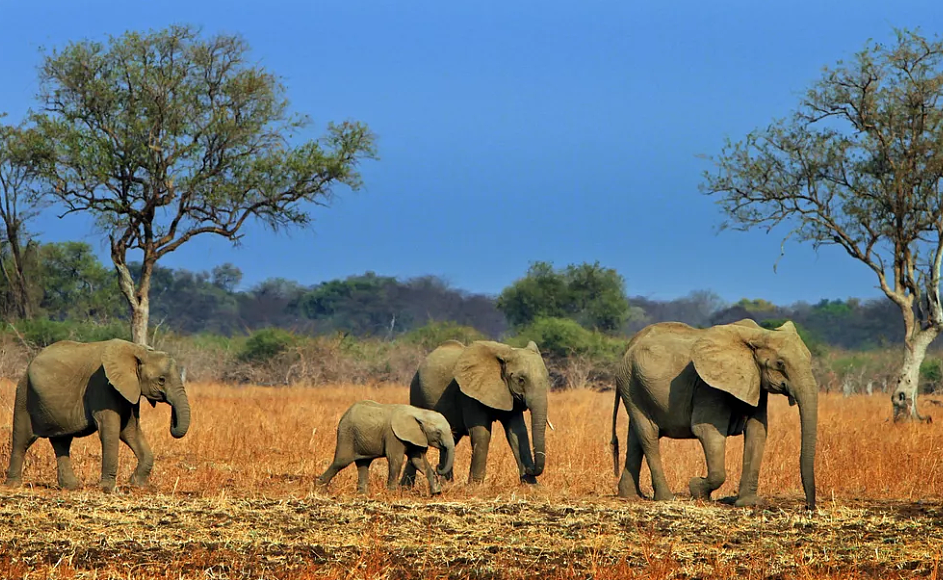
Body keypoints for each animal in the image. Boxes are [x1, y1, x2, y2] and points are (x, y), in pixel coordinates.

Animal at [5, 338, 191, 493]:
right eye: (161, 380)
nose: (172, 418)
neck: (138, 350)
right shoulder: (101, 386)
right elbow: (110, 432)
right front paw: (108, 489)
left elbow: (130, 430)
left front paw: (137, 484)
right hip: (24, 394)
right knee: (22, 439)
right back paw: (13, 485)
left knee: (61, 441)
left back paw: (71, 487)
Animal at [316, 400, 455, 496]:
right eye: (438, 433)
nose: (439, 466)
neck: (419, 412)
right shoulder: (393, 436)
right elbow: (396, 460)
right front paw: (392, 493)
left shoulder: (417, 437)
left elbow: (418, 461)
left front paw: (436, 493)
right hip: (347, 434)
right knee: (341, 461)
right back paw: (319, 488)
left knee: (363, 464)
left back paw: (362, 494)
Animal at [400, 339, 550, 487]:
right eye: (521, 379)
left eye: (547, 378)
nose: (530, 468)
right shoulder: (468, 394)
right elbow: (481, 433)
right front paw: (475, 487)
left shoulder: (509, 394)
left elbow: (518, 432)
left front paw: (533, 487)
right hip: (416, 392)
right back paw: (406, 488)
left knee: (449, 441)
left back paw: (445, 484)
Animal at [610, 319, 817, 510]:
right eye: (780, 364)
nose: (809, 507)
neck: (757, 334)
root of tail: (629, 345)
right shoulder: (708, 386)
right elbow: (707, 430)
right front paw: (696, 488)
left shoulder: (755, 381)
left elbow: (758, 431)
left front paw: (748, 503)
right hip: (631, 383)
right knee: (649, 435)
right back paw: (666, 498)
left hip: (634, 386)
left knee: (636, 436)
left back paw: (630, 496)